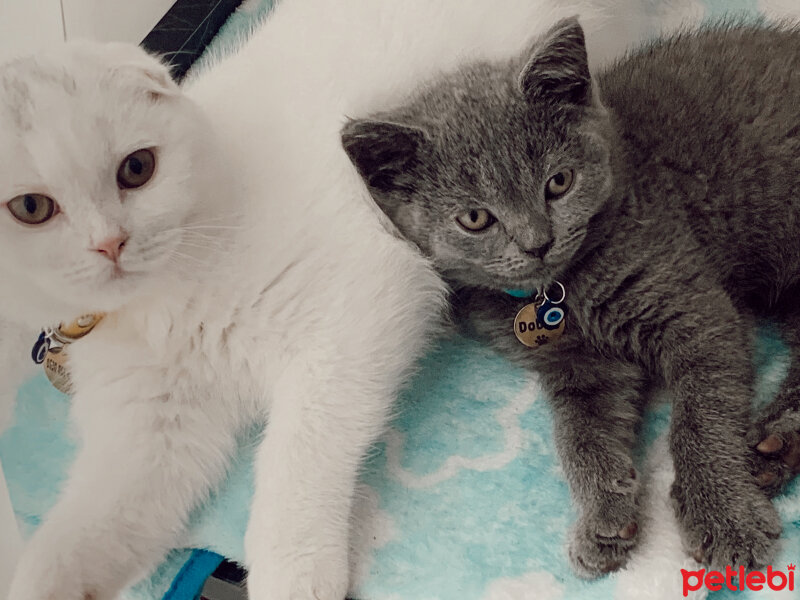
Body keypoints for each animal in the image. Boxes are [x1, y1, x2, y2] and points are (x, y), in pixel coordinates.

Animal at [1, 1, 692, 600]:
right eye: (31, 208)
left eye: (137, 168)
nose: (111, 244)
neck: (165, 300)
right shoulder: (150, 424)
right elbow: (106, 516)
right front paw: (45, 578)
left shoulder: (364, 302)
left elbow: (299, 449)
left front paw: (293, 571)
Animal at [340, 18, 800, 576]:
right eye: (475, 218)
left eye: (558, 182)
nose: (537, 242)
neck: (561, 292)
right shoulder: (580, 367)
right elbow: (580, 436)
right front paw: (606, 516)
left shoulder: (696, 311)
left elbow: (699, 417)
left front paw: (723, 517)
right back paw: (775, 449)